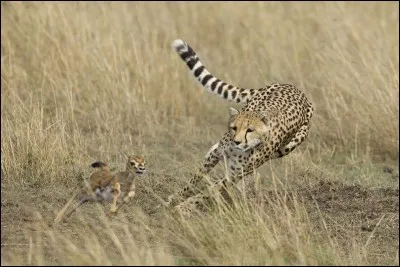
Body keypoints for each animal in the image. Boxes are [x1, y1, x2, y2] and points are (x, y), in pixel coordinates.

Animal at [164, 38, 314, 217]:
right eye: (234, 128)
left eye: (250, 130)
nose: (237, 142)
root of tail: (297, 90)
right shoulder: (217, 154)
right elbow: (196, 178)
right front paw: (177, 197)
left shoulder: (235, 174)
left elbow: (209, 191)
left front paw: (184, 206)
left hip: (285, 148)